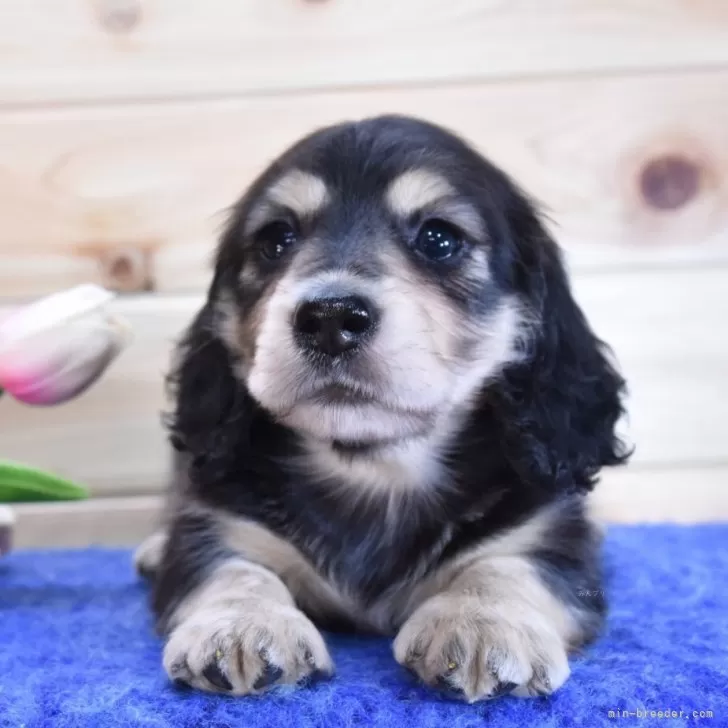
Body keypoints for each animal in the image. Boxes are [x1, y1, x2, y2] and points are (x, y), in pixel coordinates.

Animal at [136, 116, 632, 704]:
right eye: (275, 240)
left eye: (439, 239)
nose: (330, 318)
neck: (376, 466)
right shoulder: (216, 528)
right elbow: (234, 570)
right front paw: (243, 624)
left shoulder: (547, 536)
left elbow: (506, 567)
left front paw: (480, 623)